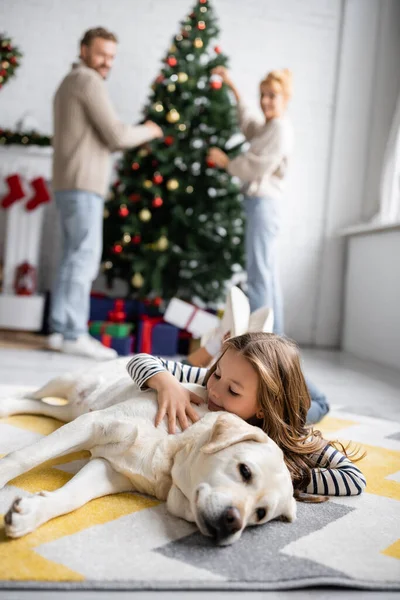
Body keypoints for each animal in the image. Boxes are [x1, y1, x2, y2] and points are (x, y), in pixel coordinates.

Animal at [0, 358, 294, 548]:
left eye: (260, 514)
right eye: (245, 471)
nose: (233, 523)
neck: (175, 448)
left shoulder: (110, 470)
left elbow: (73, 497)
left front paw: (30, 514)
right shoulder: (95, 425)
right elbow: (24, 457)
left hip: (72, 412)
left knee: (38, 405)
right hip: (67, 383)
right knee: (32, 392)